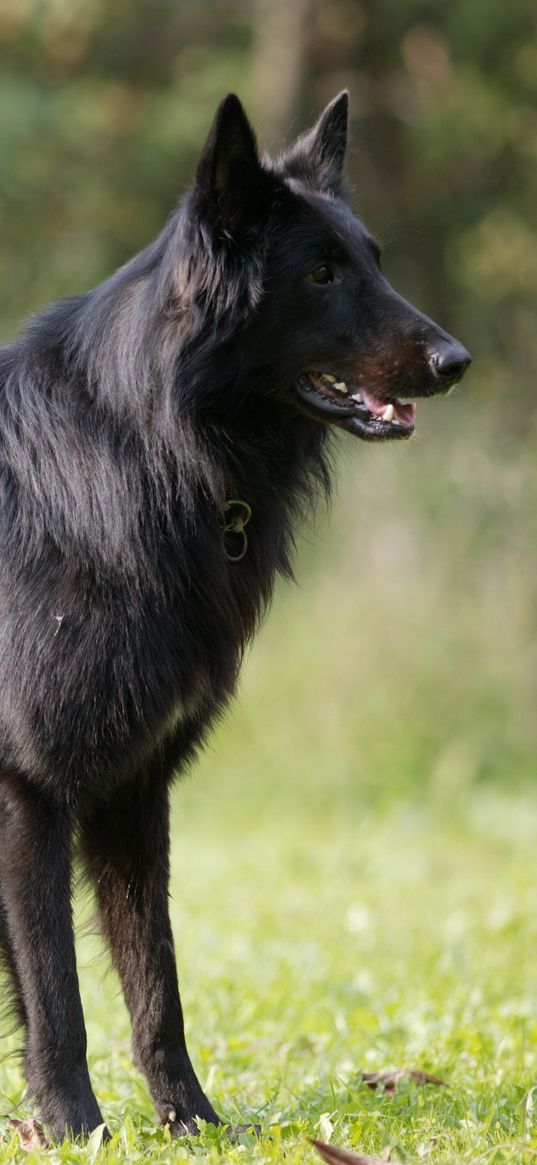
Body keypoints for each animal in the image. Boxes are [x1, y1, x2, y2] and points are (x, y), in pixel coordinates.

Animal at [0, 95, 468, 1141]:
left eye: (373, 258)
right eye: (320, 274)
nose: (455, 361)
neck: (145, 443)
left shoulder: (134, 790)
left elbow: (156, 980)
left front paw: (190, 1121)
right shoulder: (31, 791)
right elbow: (55, 993)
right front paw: (76, 1128)